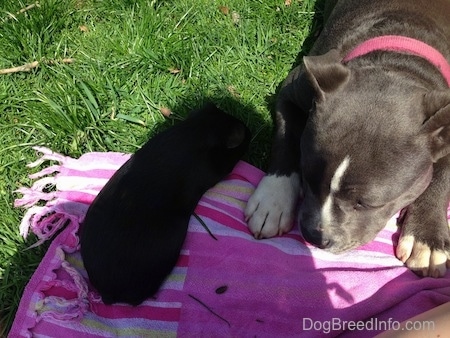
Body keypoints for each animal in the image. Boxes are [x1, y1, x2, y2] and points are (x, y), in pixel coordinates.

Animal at [244, 0, 450, 278]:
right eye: (307, 177)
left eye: (366, 204)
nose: (315, 237)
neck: (397, 61)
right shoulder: (292, 88)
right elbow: (285, 140)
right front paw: (272, 202)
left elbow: (442, 176)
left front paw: (426, 237)